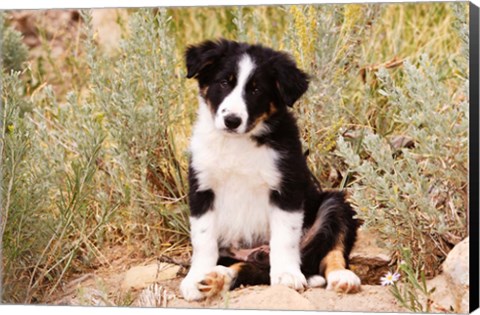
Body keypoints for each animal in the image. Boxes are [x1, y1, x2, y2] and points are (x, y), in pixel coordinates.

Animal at [180, 38, 360, 302]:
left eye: (256, 90)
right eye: (224, 82)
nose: (232, 121)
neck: (239, 143)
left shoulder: (286, 186)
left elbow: (285, 237)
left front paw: (286, 274)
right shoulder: (202, 188)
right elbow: (203, 240)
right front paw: (195, 279)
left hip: (334, 204)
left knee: (331, 250)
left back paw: (342, 277)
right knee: (248, 268)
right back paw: (217, 278)